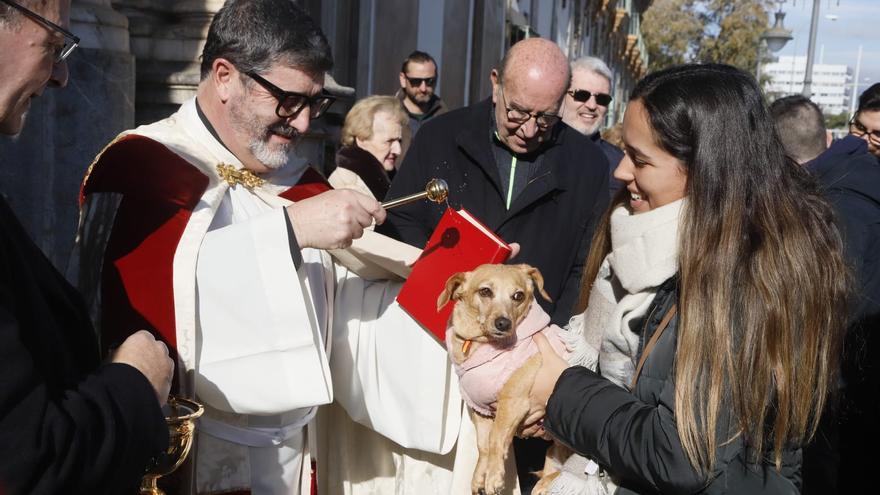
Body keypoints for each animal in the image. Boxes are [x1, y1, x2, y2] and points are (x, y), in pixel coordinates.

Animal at [440, 266, 572, 494]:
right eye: (485, 291)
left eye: (518, 296)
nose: (503, 323)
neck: (478, 343)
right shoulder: (481, 411)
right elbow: (483, 445)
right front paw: (480, 476)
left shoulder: (512, 404)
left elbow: (495, 439)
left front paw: (494, 476)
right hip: (556, 449)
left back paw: (546, 483)